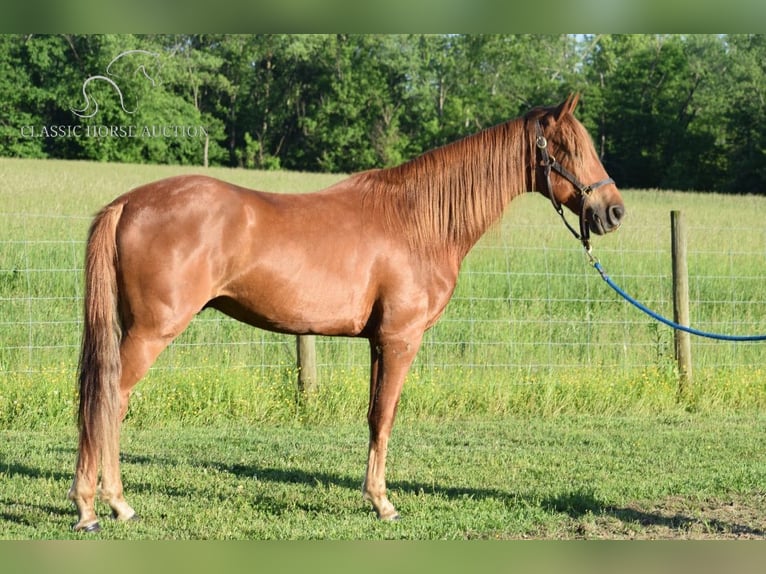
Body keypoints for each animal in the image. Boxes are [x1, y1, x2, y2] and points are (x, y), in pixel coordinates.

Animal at [70, 94, 624, 532]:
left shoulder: (379, 341)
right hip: (151, 332)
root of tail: (128, 203)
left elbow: (374, 415)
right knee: (108, 401)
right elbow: (386, 415)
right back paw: (96, 507)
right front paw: (383, 503)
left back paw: (109, 504)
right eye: (569, 148)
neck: (417, 222)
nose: (614, 211)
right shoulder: (401, 339)